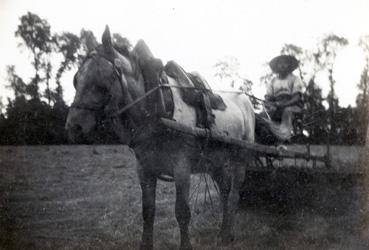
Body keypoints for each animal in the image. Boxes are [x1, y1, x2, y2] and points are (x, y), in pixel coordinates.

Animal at [65, 25, 253, 250]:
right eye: (76, 79)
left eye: (103, 78)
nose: (73, 127)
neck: (158, 108)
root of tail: (245, 98)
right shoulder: (144, 169)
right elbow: (148, 211)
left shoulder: (182, 168)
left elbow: (182, 212)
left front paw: (186, 246)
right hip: (214, 162)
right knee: (224, 191)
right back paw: (224, 233)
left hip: (240, 157)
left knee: (234, 194)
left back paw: (228, 233)